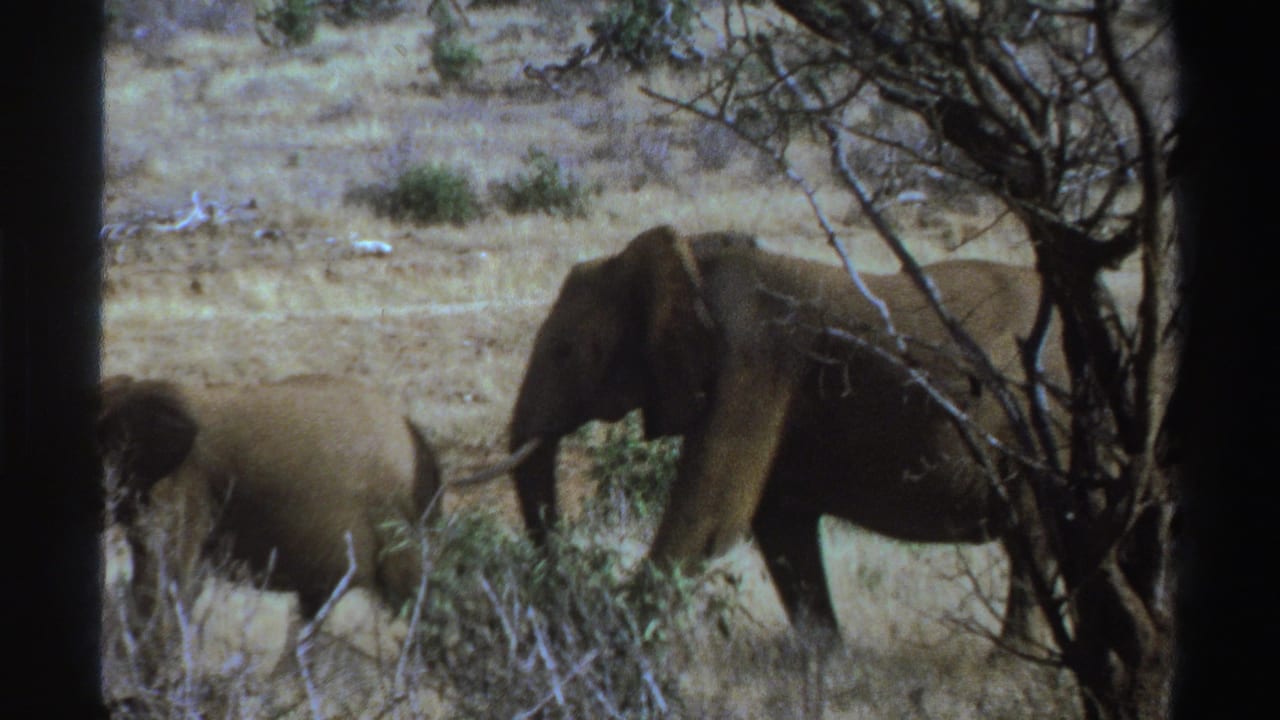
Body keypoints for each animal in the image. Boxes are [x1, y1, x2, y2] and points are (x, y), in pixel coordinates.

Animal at [507, 224, 1067, 642]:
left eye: (565, 352)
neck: (695, 260)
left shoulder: (754, 363)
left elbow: (710, 516)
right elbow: (781, 525)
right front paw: (825, 661)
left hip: (1046, 427)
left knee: (1034, 545)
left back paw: (1006, 664)